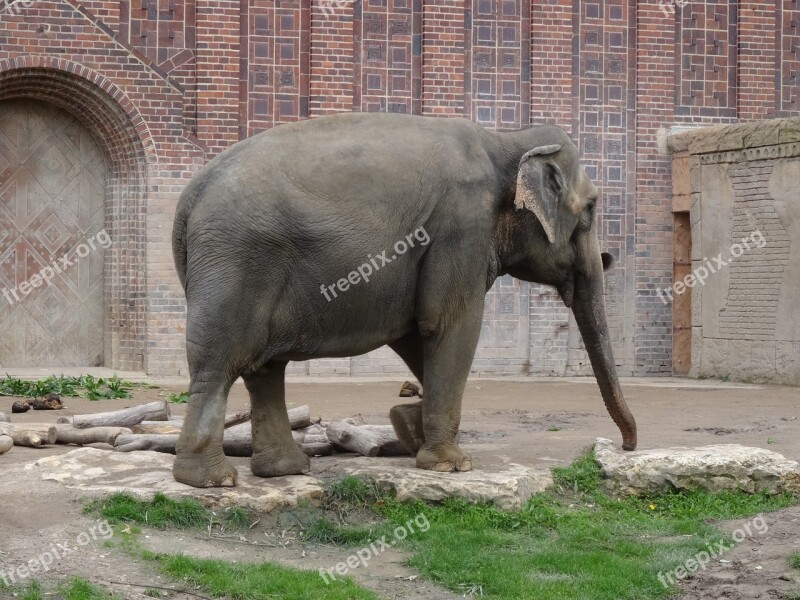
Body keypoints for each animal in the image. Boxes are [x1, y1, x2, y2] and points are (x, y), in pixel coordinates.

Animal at [173, 111, 636, 488]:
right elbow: (449, 324)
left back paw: (286, 470)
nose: (627, 446)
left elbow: (414, 333)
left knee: (265, 368)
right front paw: (451, 465)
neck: (507, 140)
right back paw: (211, 480)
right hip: (236, 261)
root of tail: (189, 196)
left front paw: (406, 427)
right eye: (590, 209)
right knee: (219, 362)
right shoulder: (461, 225)